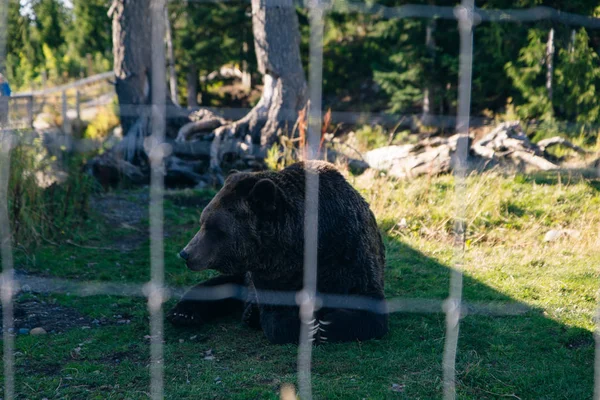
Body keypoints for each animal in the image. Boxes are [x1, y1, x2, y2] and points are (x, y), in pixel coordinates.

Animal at [168, 160, 390, 344]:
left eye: (215, 228)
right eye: (203, 221)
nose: (186, 253)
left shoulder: (347, 251)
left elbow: (367, 303)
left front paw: (329, 325)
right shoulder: (272, 273)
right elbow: (276, 316)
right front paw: (307, 327)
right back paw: (184, 314)